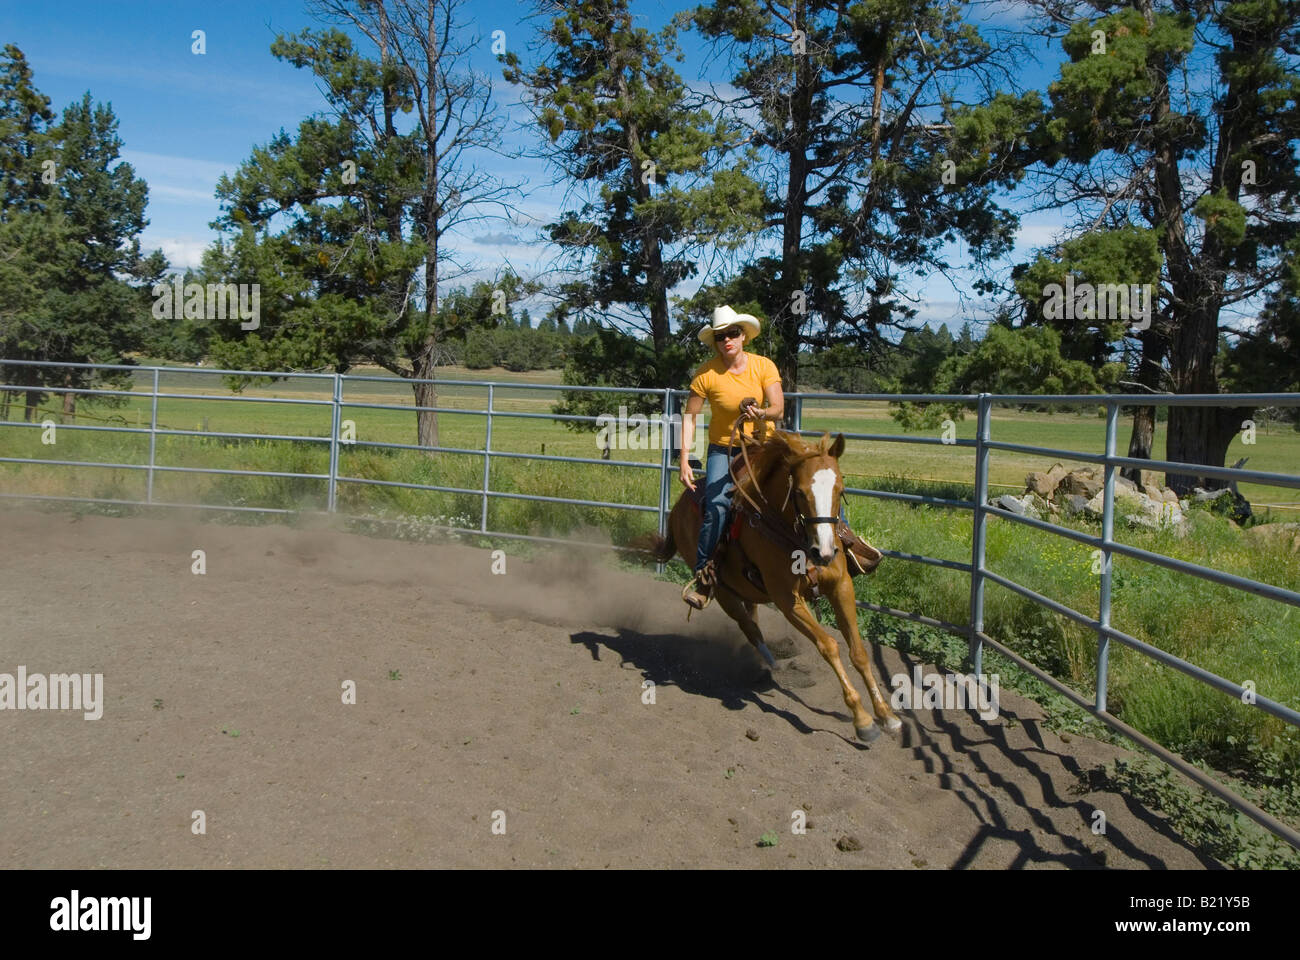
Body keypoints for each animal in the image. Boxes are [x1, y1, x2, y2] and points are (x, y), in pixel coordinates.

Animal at [653, 429, 903, 743]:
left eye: (840, 489)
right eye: (799, 492)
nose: (825, 552)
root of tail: (676, 508)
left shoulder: (842, 586)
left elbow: (858, 651)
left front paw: (887, 715)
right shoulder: (788, 600)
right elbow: (829, 645)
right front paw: (862, 719)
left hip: (746, 588)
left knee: (753, 615)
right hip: (722, 591)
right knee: (749, 627)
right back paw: (771, 666)